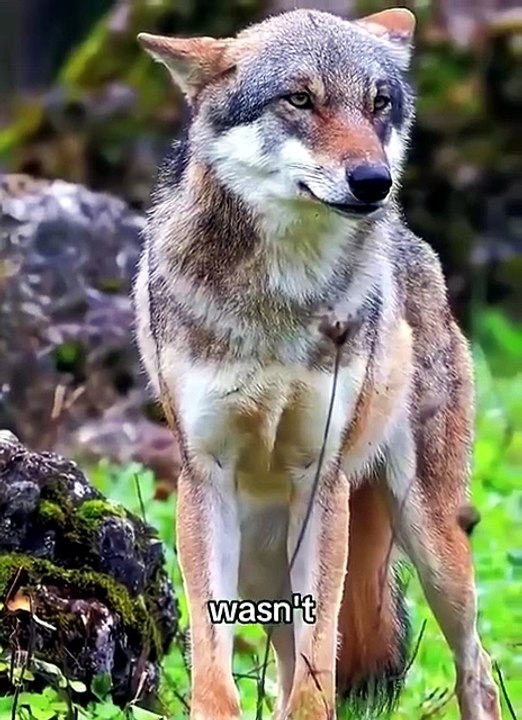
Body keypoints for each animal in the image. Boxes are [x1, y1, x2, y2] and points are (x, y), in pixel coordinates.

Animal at [133, 7, 502, 720]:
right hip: (261, 562)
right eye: (300, 100)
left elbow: (316, 673)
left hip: (434, 542)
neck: (281, 299)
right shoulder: (204, 481)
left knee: (480, 665)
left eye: (378, 102)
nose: (374, 182)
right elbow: (215, 674)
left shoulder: (320, 482)